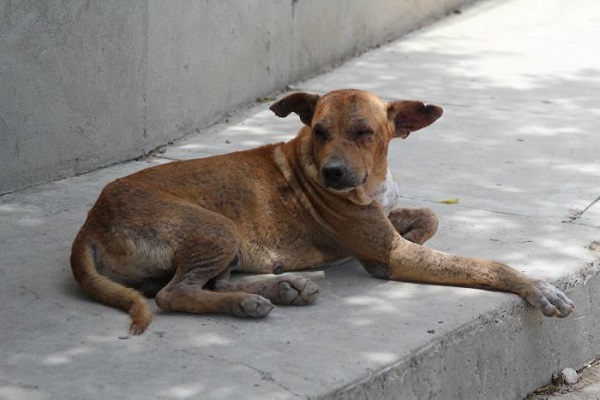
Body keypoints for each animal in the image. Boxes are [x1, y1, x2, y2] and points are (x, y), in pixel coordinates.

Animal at [69, 88, 572, 334]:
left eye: (364, 132)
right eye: (320, 130)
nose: (332, 174)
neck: (371, 180)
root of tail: (90, 223)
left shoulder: (385, 227)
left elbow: (429, 217)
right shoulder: (393, 254)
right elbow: (486, 265)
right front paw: (537, 287)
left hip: (224, 240)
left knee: (201, 283)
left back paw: (282, 288)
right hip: (217, 228)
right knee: (173, 294)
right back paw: (248, 302)